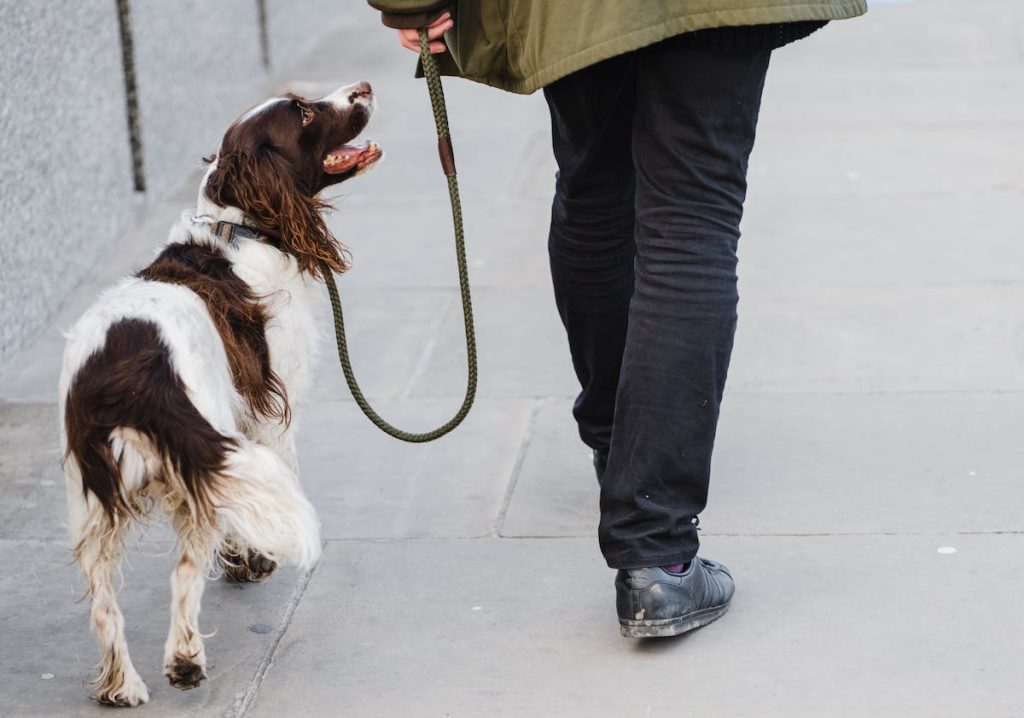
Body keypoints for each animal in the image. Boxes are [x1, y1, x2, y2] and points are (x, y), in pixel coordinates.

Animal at [59, 81, 382, 704]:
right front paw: (253, 557)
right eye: (303, 112)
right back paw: (184, 660)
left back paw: (122, 686)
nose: (364, 88)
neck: (240, 226)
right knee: (184, 573)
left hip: (93, 500)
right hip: (193, 453)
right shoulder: (266, 409)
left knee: (105, 601)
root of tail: (127, 374)